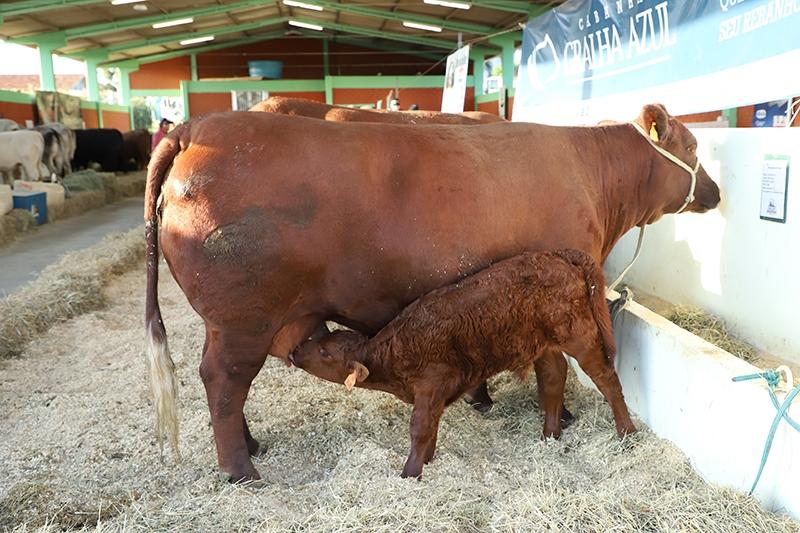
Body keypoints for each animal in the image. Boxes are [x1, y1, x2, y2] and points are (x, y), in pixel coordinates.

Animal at [290, 249, 636, 478]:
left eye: (325, 352)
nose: (294, 352)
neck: (396, 350)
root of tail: (560, 255)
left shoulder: (431, 384)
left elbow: (420, 427)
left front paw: (410, 472)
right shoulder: (434, 393)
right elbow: (431, 426)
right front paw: (427, 460)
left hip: (580, 335)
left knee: (606, 378)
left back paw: (627, 434)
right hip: (543, 342)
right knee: (553, 376)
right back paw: (550, 435)